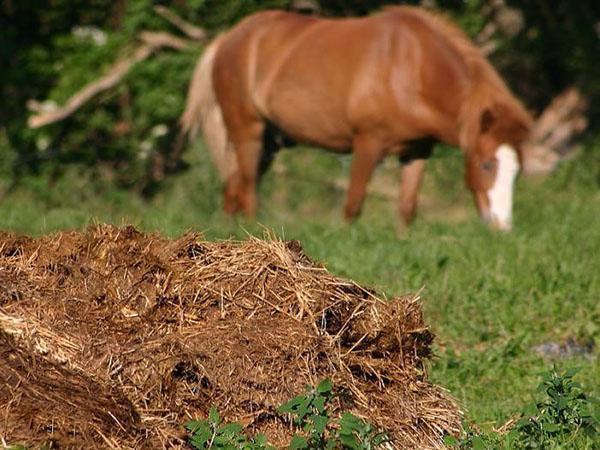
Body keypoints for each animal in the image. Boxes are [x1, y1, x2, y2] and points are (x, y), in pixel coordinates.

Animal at [180, 6, 532, 232]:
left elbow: (407, 208)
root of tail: (226, 39)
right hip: (247, 132)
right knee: (248, 189)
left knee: (233, 188)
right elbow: (353, 205)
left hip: (269, 142)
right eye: (486, 164)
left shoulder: (417, 150)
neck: (411, 67)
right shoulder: (367, 143)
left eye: (517, 170)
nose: (502, 225)